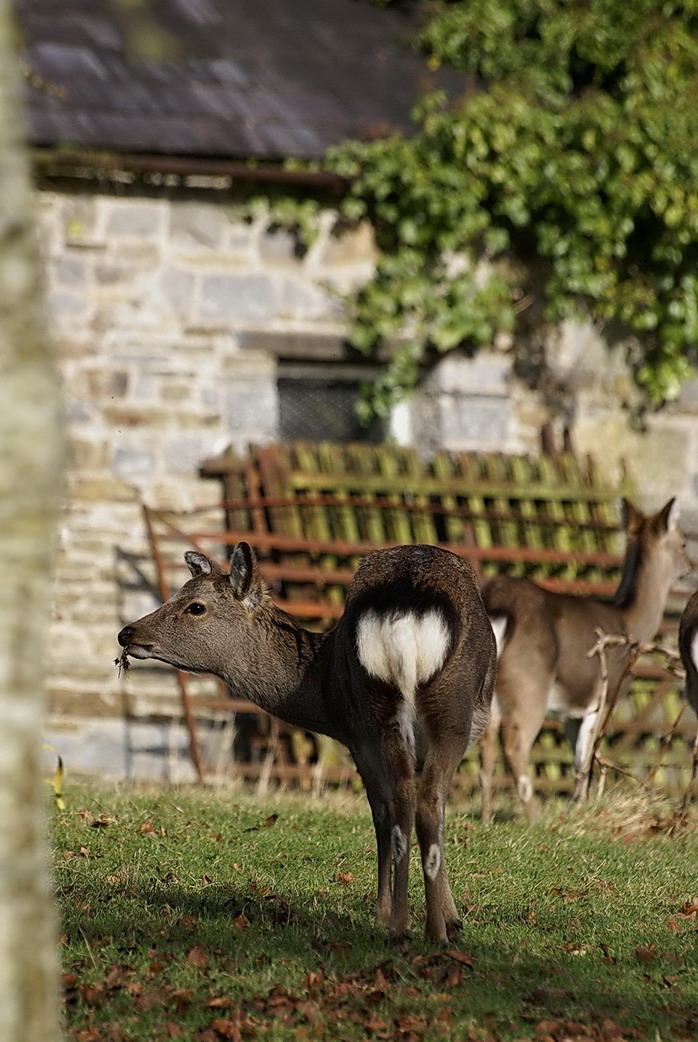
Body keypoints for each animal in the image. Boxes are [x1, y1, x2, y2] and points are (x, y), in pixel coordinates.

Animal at [118, 541, 497, 941]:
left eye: (195, 606)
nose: (127, 633)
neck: (321, 689)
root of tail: (408, 608)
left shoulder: (355, 732)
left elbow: (399, 815)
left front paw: (415, 916)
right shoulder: (359, 735)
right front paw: (445, 917)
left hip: (395, 709)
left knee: (407, 803)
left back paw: (410, 926)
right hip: (429, 711)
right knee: (418, 802)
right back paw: (423, 928)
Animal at [481, 495, 687, 821]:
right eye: (683, 543)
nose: (691, 566)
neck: (629, 623)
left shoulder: (570, 712)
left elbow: (578, 759)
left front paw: (576, 806)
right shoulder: (607, 694)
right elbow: (586, 757)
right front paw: (578, 810)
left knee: (484, 742)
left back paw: (487, 817)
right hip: (530, 683)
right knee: (514, 743)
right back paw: (535, 820)